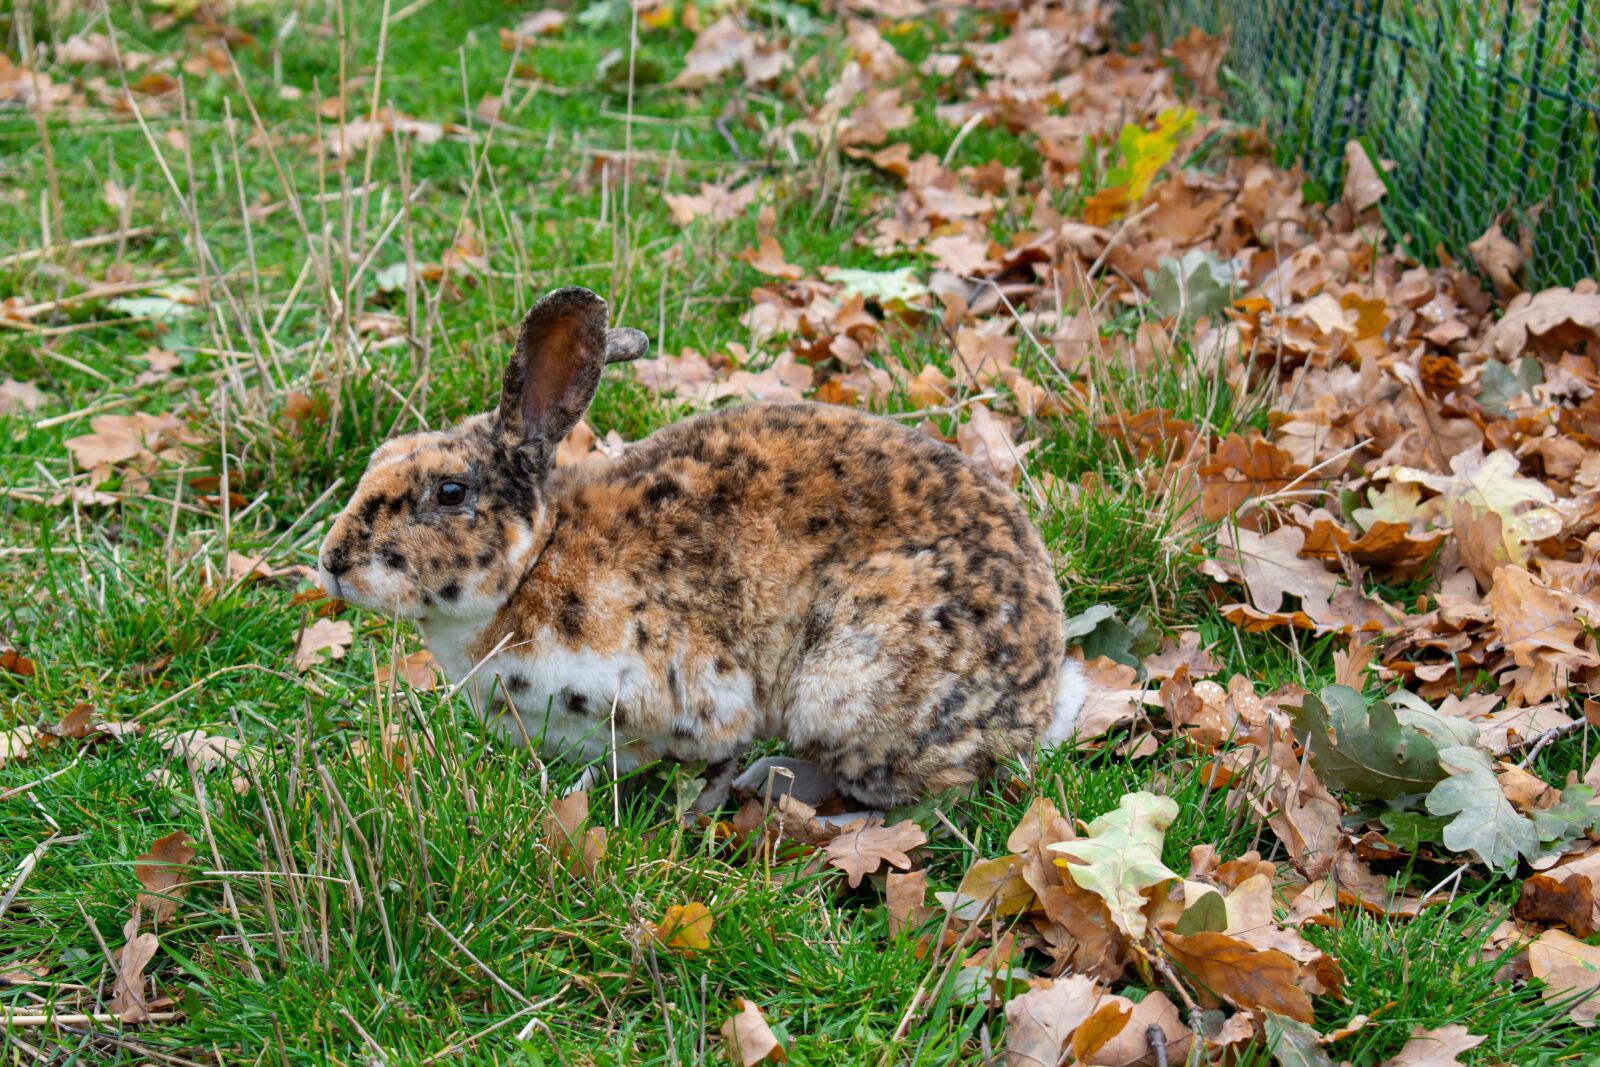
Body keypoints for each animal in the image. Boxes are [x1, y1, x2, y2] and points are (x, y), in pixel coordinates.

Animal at [318, 286, 1087, 810]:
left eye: (449, 492)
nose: (331, 564)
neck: (531, 564)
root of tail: (1038, 699)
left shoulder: (700, 695)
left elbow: (713, 761)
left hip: (848, 688)